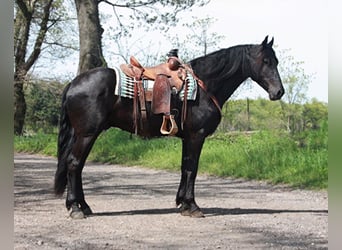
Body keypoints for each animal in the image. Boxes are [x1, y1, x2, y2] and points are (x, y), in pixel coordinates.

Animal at [54, 36, 284, 218]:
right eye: (265, 60)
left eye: (276, 61)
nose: (279, 92)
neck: (204, 86)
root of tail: (73, 84)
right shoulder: (196, 136)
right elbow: (192, 169)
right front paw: (192, 206)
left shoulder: (187, 137)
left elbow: (185, 168)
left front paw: (182, 203)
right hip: (87, 134)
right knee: (74, 164)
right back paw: (76, 208)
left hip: (84, 134)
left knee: (77, 166)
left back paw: (83, 206)